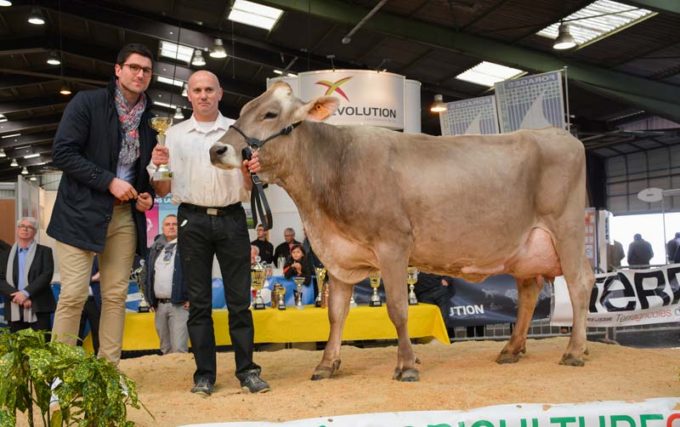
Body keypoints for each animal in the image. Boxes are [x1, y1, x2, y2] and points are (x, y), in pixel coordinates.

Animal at [209, 82, 596, 382]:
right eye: (243, 110)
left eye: (270, 114)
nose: (217, 149)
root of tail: (563, 135)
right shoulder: (338, 257)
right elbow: (336, 313)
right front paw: (326, 364)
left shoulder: (393, 244)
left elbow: (397, 308)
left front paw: (407, 365)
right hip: (525, 248)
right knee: (529, 293)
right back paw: (512, 349)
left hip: (567, 230)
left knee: (579, 282)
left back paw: (575, 351)